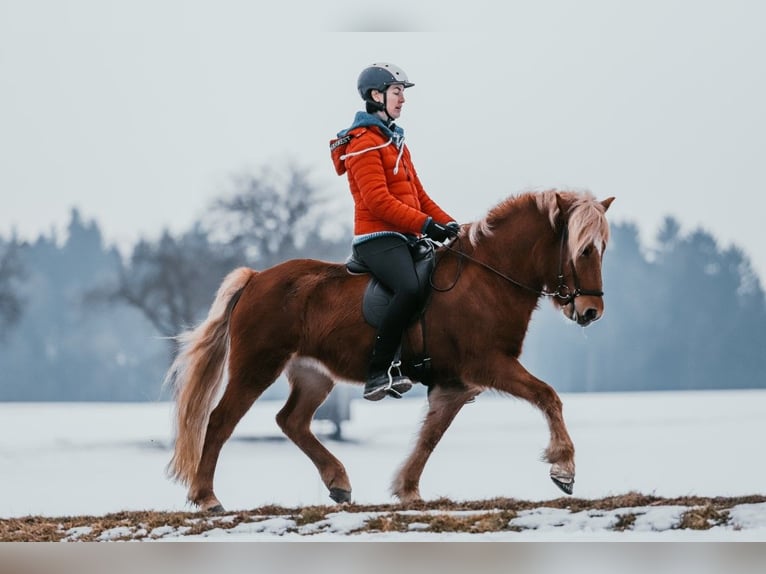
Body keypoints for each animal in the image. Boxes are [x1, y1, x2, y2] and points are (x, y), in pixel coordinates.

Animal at [165, 189, 614, 511]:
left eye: (603, 249)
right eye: (584, 249)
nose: (591, 311)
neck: (487, 279)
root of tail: (256, 278)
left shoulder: (455, 384)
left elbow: (430, 436)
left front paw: (407, 489)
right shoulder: (489, 364)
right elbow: (547, 395)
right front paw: (564, 468)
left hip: (314, 375)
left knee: (291, 421)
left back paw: (338, 482)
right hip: (256, 367)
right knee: (220, 422)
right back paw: (207, 497)